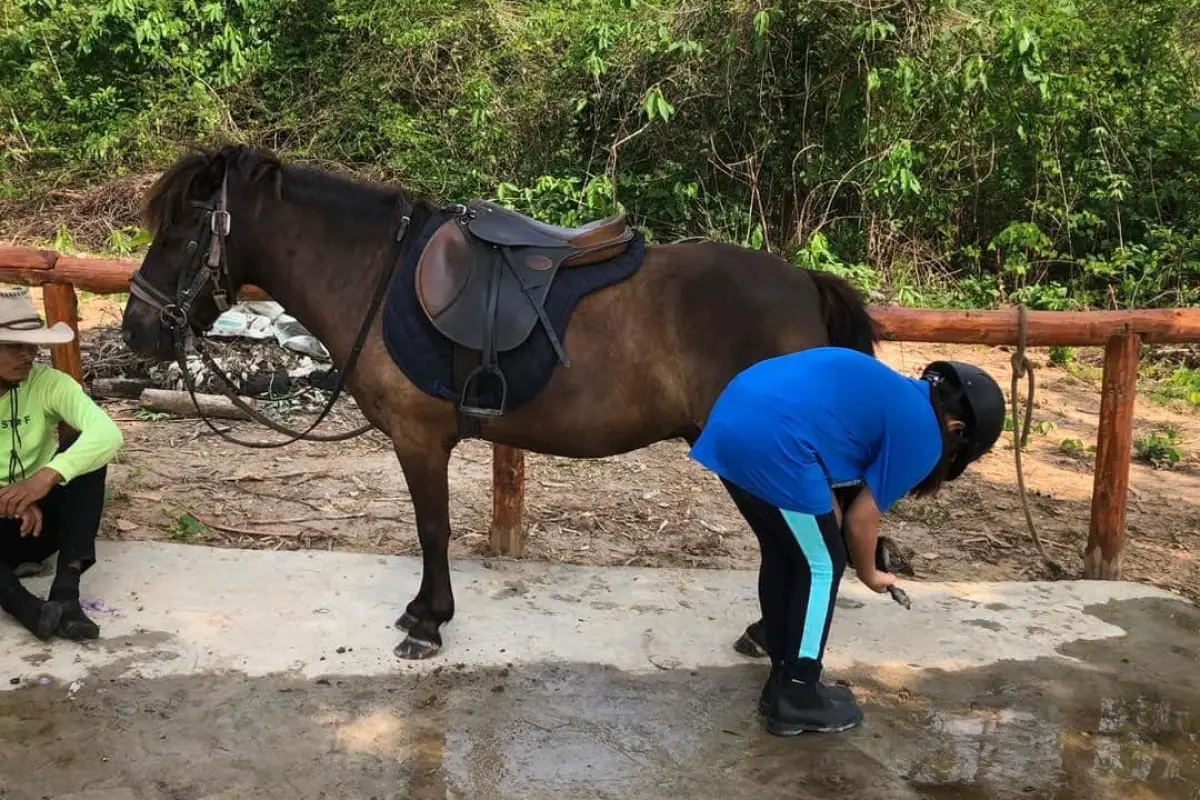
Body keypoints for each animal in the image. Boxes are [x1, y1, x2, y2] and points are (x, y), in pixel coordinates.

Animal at [120, 143, 879, 660]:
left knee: (809, 545)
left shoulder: (419, 439)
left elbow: (432, 529)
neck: (376, 275)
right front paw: (422, 614)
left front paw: (428, 623)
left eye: (180, 234)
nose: (137, 329)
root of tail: (806, 285)